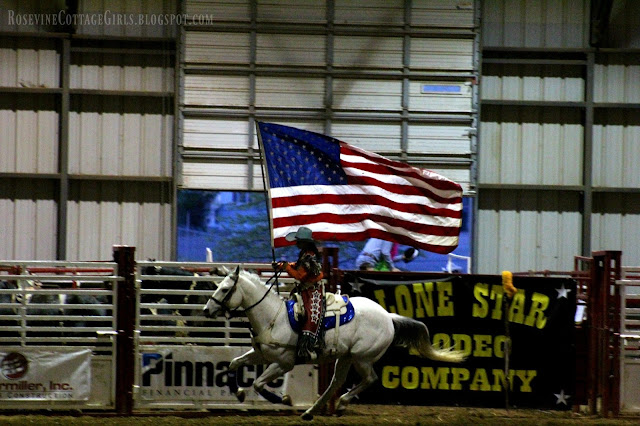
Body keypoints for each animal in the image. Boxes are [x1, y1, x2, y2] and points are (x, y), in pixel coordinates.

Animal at [205, 268, 464, 422]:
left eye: (225, 289)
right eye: (217, 286)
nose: (207, 310)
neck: (273, 317)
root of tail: (388, 316)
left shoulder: (283, 363)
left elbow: (258, 384)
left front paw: (284, 400)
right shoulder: (261, 355)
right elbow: (233, 363)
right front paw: (239, 392)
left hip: (362, 358)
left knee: (369, 379)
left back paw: (341, 404)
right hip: (345, 357)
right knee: (335, 383)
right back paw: (312, 411)